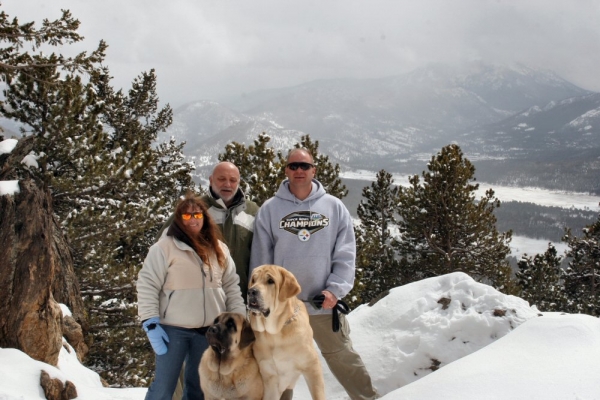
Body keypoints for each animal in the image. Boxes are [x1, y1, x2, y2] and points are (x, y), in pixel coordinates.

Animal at [246, 264, 326, 398]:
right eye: (253, 280)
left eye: (270, 281)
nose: (251, 291)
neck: (275, 333)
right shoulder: (270, 377)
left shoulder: (312, 366)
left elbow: (318, 394)